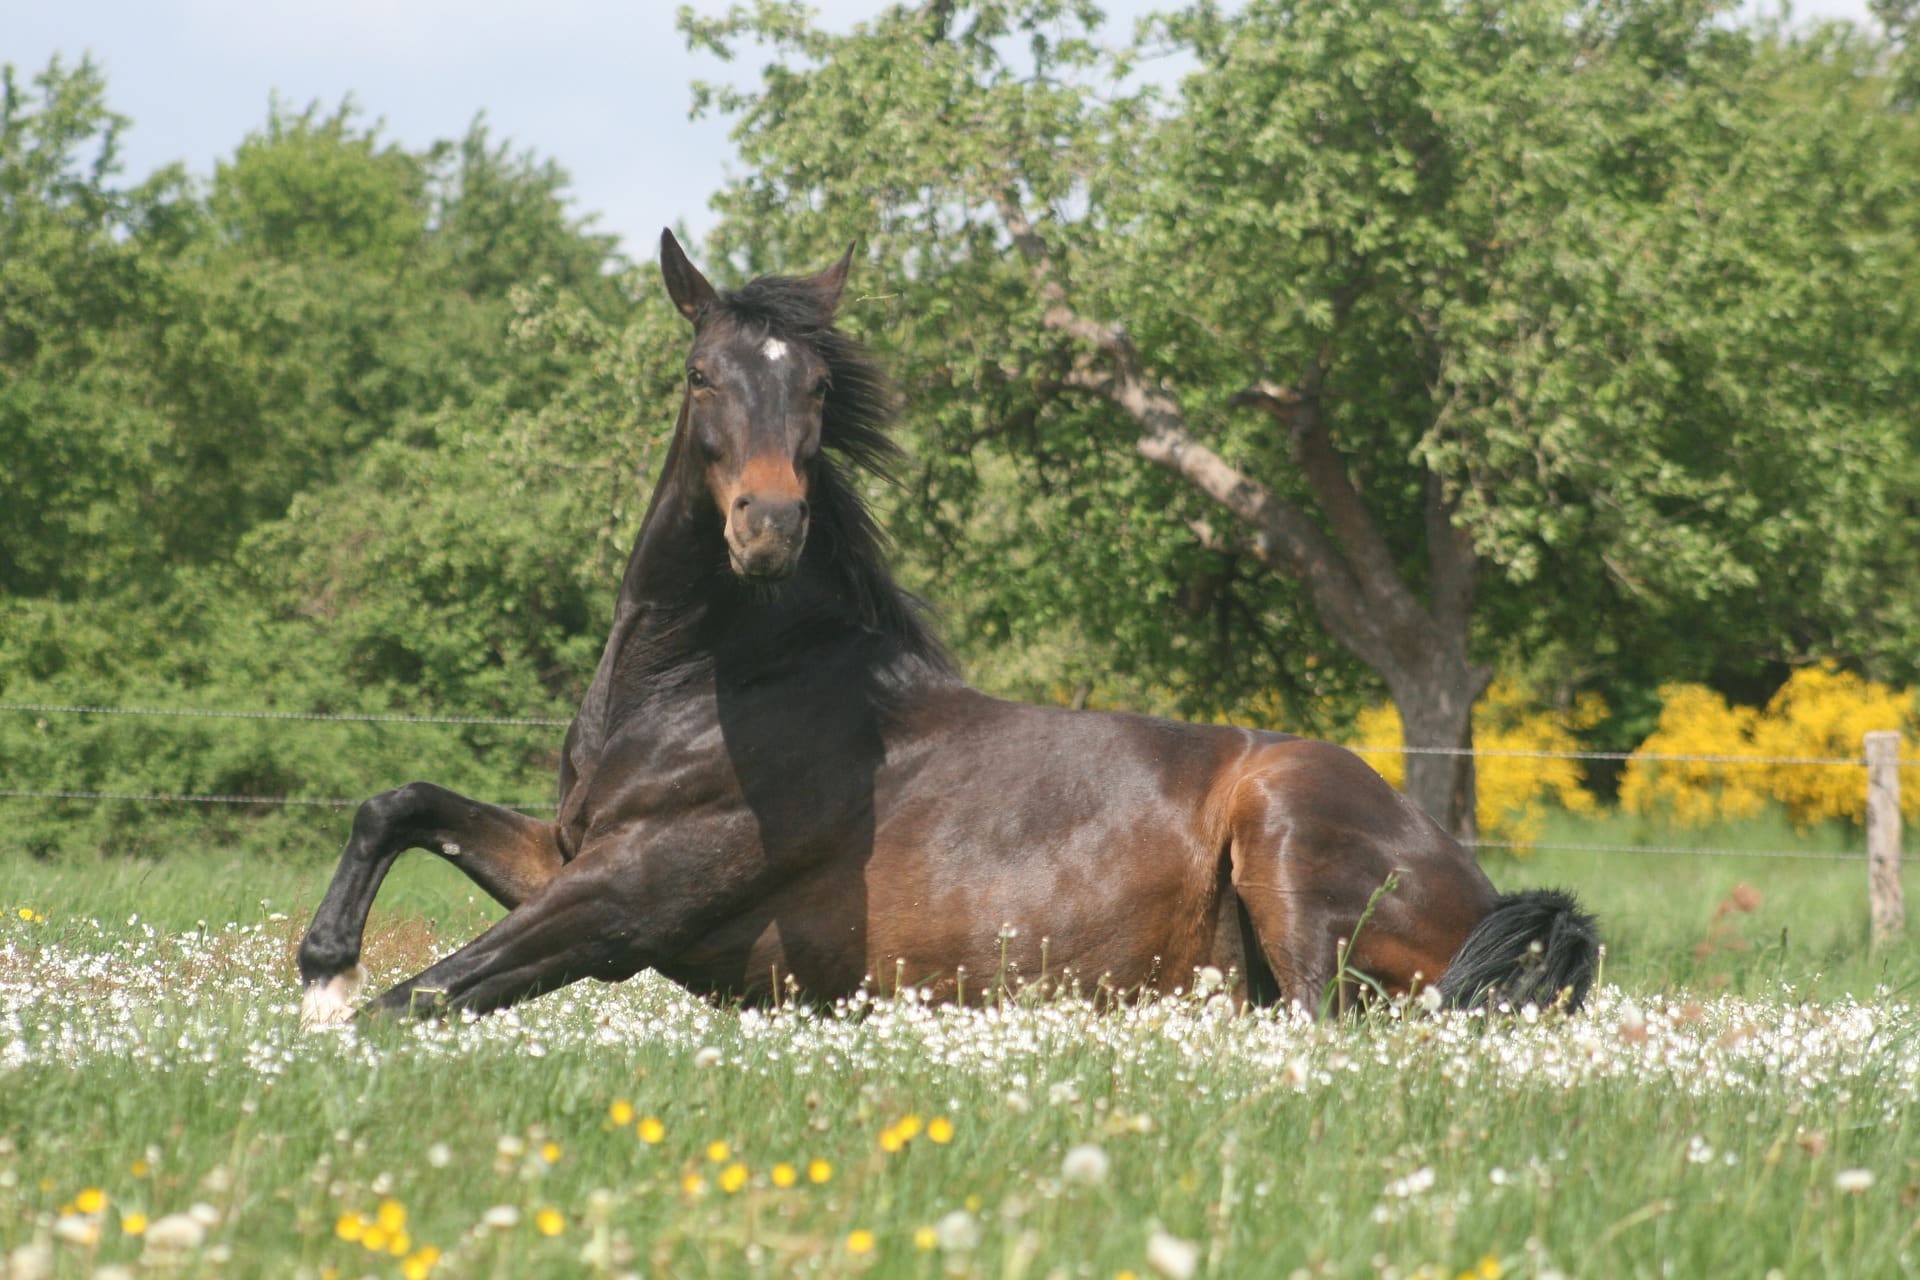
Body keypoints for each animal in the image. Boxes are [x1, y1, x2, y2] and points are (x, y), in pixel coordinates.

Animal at [291, 230, 1597, 1028]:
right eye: (703, 372)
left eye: (819, 388)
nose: (768, 525)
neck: (717, 688)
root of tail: (1489, 891)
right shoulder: (565, 854)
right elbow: (397, 803)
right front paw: (320, 961)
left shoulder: (620, 903)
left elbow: (414, 998)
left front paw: (322, 1015)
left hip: (1285, 828)